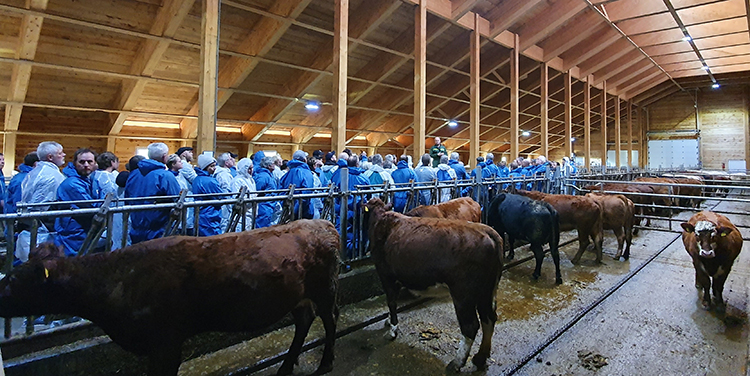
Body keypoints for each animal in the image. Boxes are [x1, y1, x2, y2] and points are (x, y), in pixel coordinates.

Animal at [0, 220, 340, 376]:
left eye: (14, 279)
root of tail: (321, 224)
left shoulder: (166, 340)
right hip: (298, 296)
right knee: (304, 321)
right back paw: (286, 365)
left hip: (324, 289)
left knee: (330, 320)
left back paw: (325, 363)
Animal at [366, 198, 502, 372]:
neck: (382, 219)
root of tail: (488, 231)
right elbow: (394, 301)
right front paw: (389, 321)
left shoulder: (385, 274)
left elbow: (391, 301)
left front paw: (392, 331)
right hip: (487, 290)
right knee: (489, 318)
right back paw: (480, 358)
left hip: (463, 293)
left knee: (471, 326)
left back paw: (457, 362)